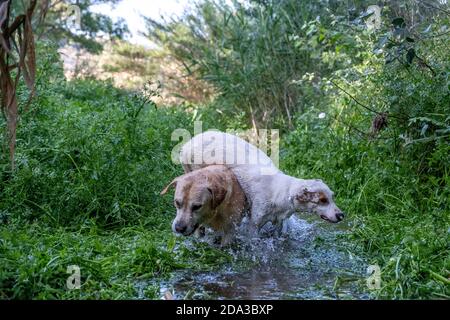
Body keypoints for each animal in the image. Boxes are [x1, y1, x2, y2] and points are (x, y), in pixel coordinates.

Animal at [180, 131, 344, 234]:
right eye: (322, 200)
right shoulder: (254, 224)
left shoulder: (279, 222)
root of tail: (187, 145)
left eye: (332, 197)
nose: (341, 215)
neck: (281, 191)